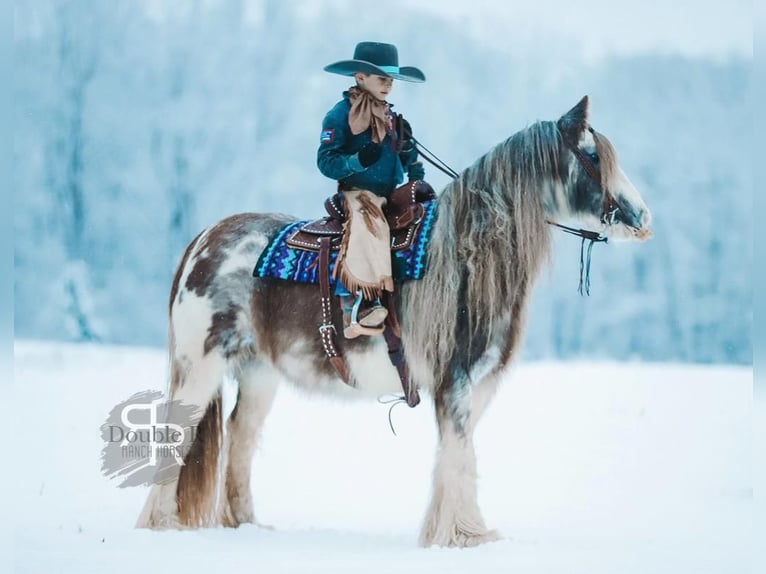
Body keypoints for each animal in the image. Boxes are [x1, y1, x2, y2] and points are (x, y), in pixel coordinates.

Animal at [138, 95, 656, 548]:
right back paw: (162, 523)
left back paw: (245, 527)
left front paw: (452, 531)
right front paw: (464, 536)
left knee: (240, 441)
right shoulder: (455, 381)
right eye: (593, 155)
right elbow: (459, 455)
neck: (468, 258)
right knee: (177, 438)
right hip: (201, 366)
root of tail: (206, 239)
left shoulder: (477, 384)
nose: (642, 217)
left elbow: (457, 456)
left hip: (259, 374)